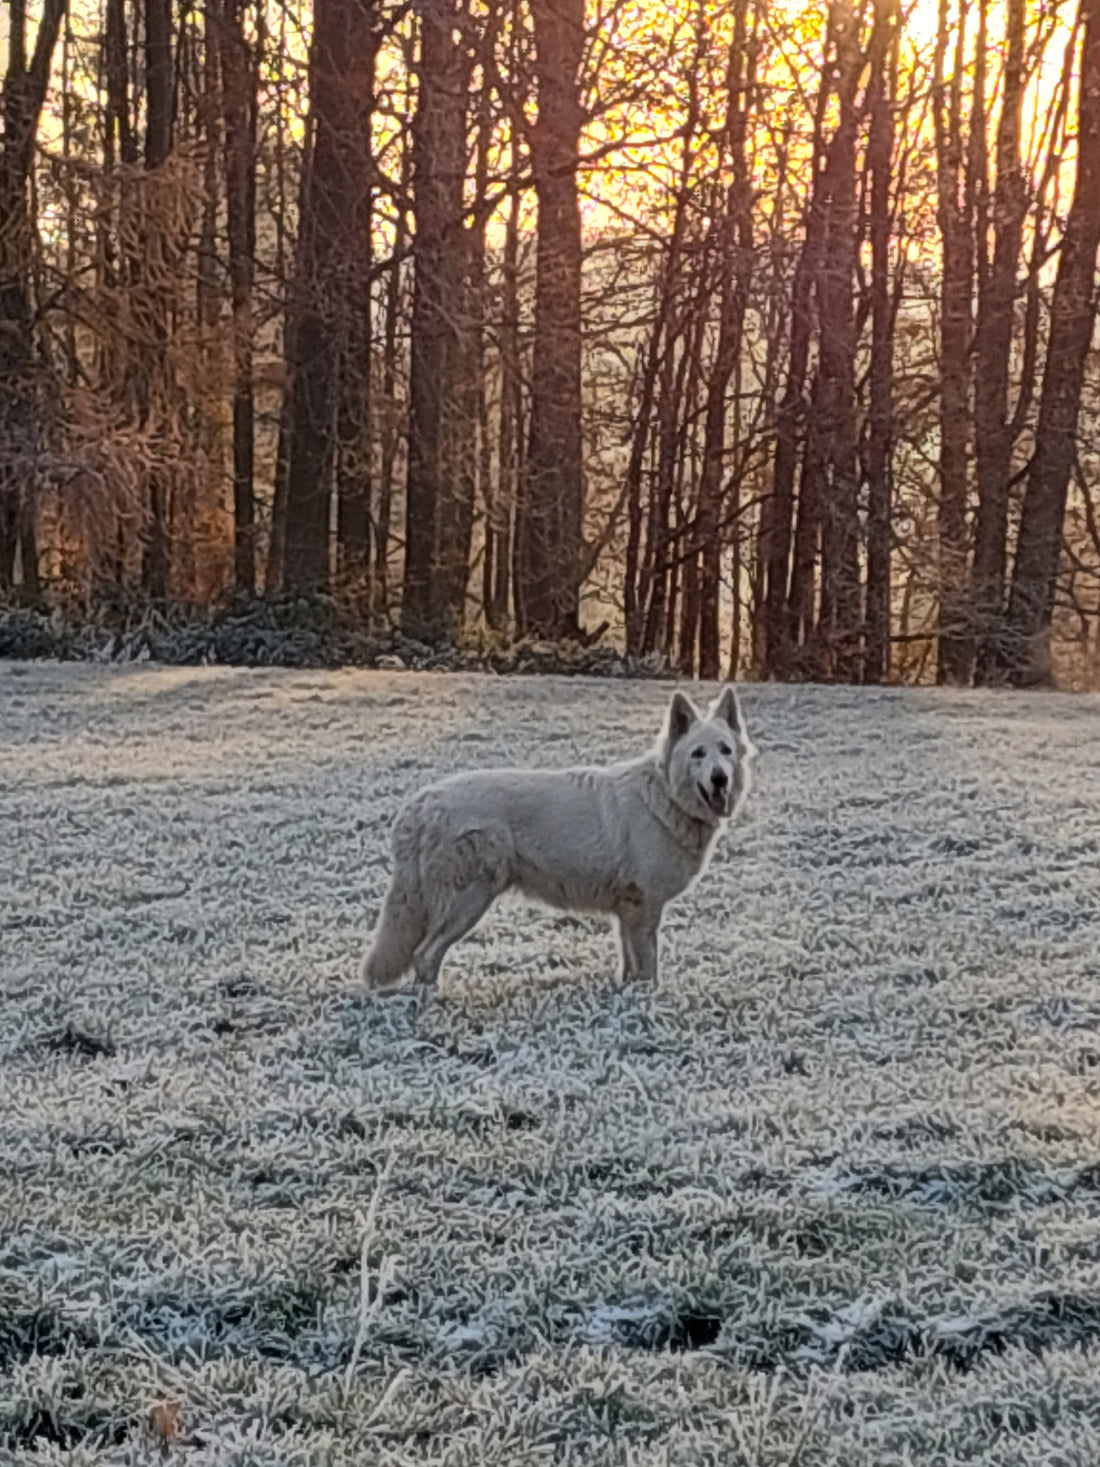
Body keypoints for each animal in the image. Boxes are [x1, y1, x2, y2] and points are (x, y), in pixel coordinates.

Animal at [362, 686, 756, 997]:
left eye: (725, 750)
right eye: (698, 754)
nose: (720, 779)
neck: (664, 797)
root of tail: (419, 803)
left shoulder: (628, 913)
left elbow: (629, 964)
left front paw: (627, 995)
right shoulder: (644, 909)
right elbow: (648, 966)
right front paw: (648, 1000)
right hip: (469, 901)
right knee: (425, 955)